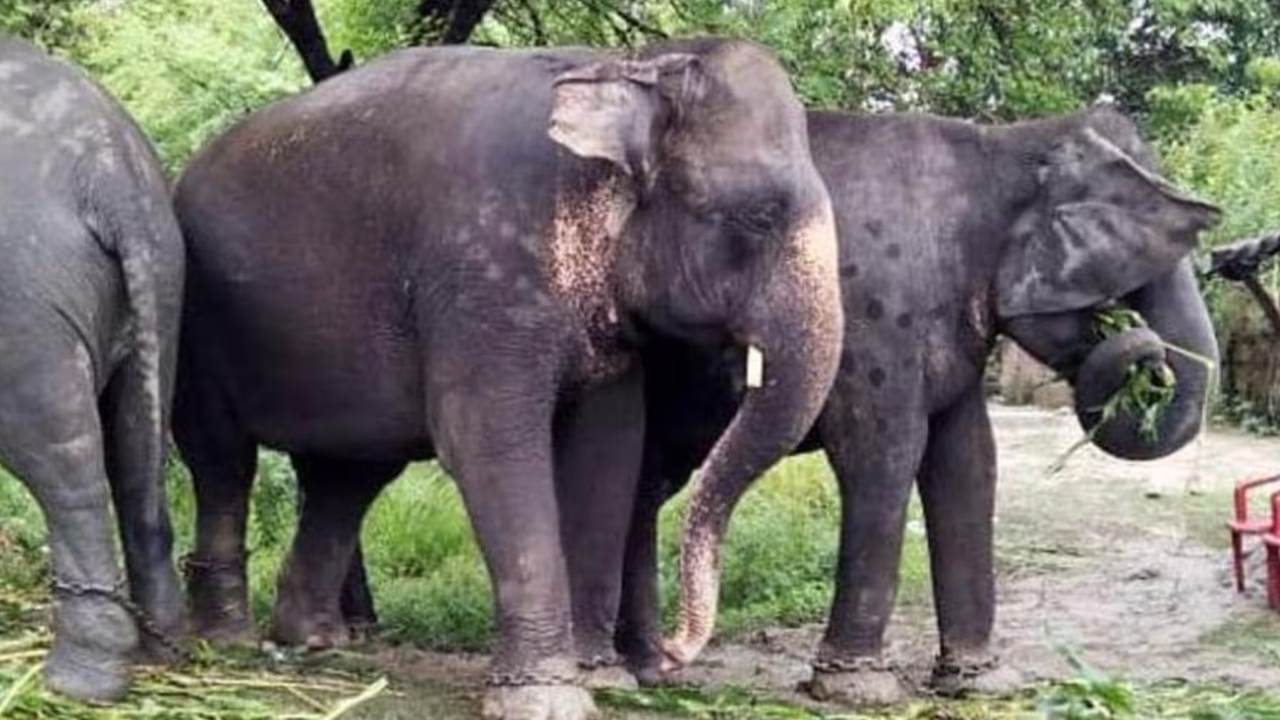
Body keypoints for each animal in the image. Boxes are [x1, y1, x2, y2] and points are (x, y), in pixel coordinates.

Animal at [0, 37, 187, 702]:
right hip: (164, 273)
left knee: (66, 465)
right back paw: (162, 651)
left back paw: (79, 682)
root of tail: (110, 172)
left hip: (26, 302)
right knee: (138, 455)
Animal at [171, 39, 842, 720]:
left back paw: (311, 641)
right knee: (222, 459)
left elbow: (609, 451)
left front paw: (601, 676)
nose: (676, 653)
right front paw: (545, 695)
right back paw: (228, 641)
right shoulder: (485, 269)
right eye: (759, 217)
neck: (625, 64)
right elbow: (488, 441)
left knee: (348, 477)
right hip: (199, 323)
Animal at [615, 106, 1221, 702]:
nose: (1148, 357)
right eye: (1136, 275)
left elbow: (969, 461)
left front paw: (979, 682)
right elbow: (884, 453)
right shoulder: (874, 315)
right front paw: (858, 688)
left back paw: (647, 671)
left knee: (643, 486)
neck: (1004, 145)